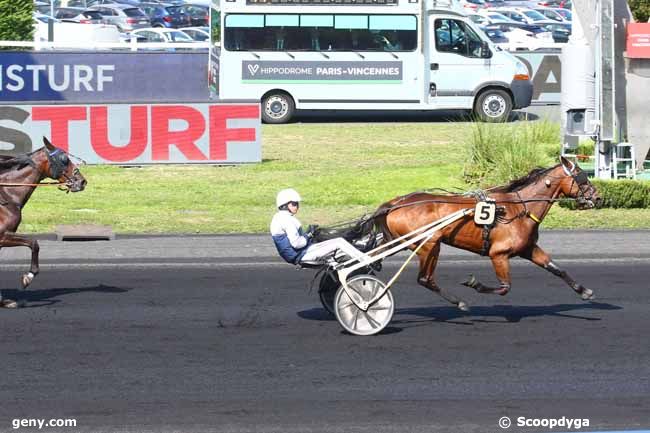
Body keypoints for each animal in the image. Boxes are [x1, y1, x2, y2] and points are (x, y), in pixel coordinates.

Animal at [0, 138, 86, 308]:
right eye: (64, 159)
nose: (82, 181)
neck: (5, 195)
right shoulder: (3, 236)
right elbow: (34, 242)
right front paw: (28, 276)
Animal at [372, 155, 600, 310]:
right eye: (582, 177)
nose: (597, 197)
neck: (519, 209)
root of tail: (395, 203)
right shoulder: (498, 254)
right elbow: (505, 287)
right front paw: (475, 284)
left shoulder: (528, 248)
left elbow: (555, 268)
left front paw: (584, 291)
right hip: (429, 243)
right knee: (424, 279)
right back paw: (459, 302)